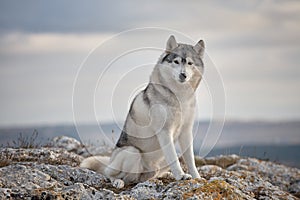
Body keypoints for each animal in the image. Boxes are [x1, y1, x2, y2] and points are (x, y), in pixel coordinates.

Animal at [81, 35, 205, 188]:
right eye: (176, 61)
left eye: (190, 63)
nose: (183, 75)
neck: (179, 97)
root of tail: (110, 161)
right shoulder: (165, 132)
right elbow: (174, 160)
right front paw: (181, 176)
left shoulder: (186, 131)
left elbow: (190, 161)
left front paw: (197, 177)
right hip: (132, 152)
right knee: (112, 174)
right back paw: (118, 182)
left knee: (147, 175)